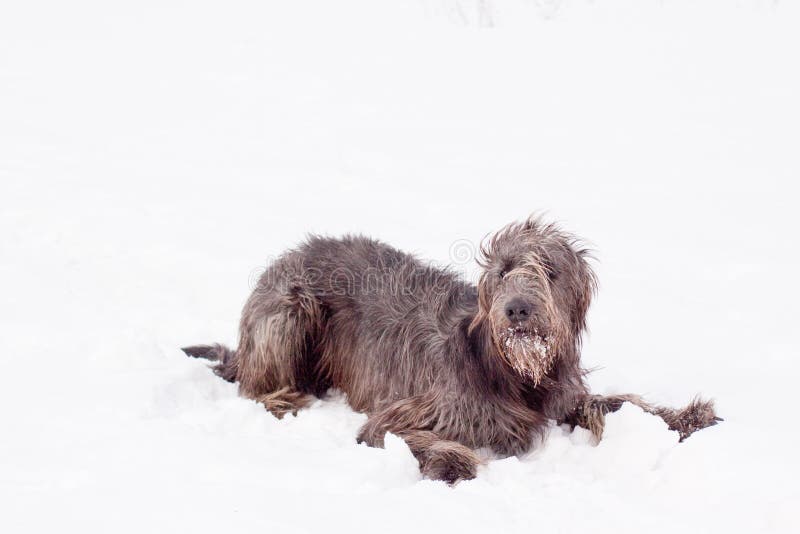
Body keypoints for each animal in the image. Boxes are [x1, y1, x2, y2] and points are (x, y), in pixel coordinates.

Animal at [184, 218, 720, 486]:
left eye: (549, 271)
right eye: (503, 271)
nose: (518, 310)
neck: (511, 372)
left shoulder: (560, 394)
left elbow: (620, 403)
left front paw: (686, 417)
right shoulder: (415, 408)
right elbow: (395, 432)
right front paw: (454, 461)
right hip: (291, 309)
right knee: (255, 388)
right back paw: (285, 400)